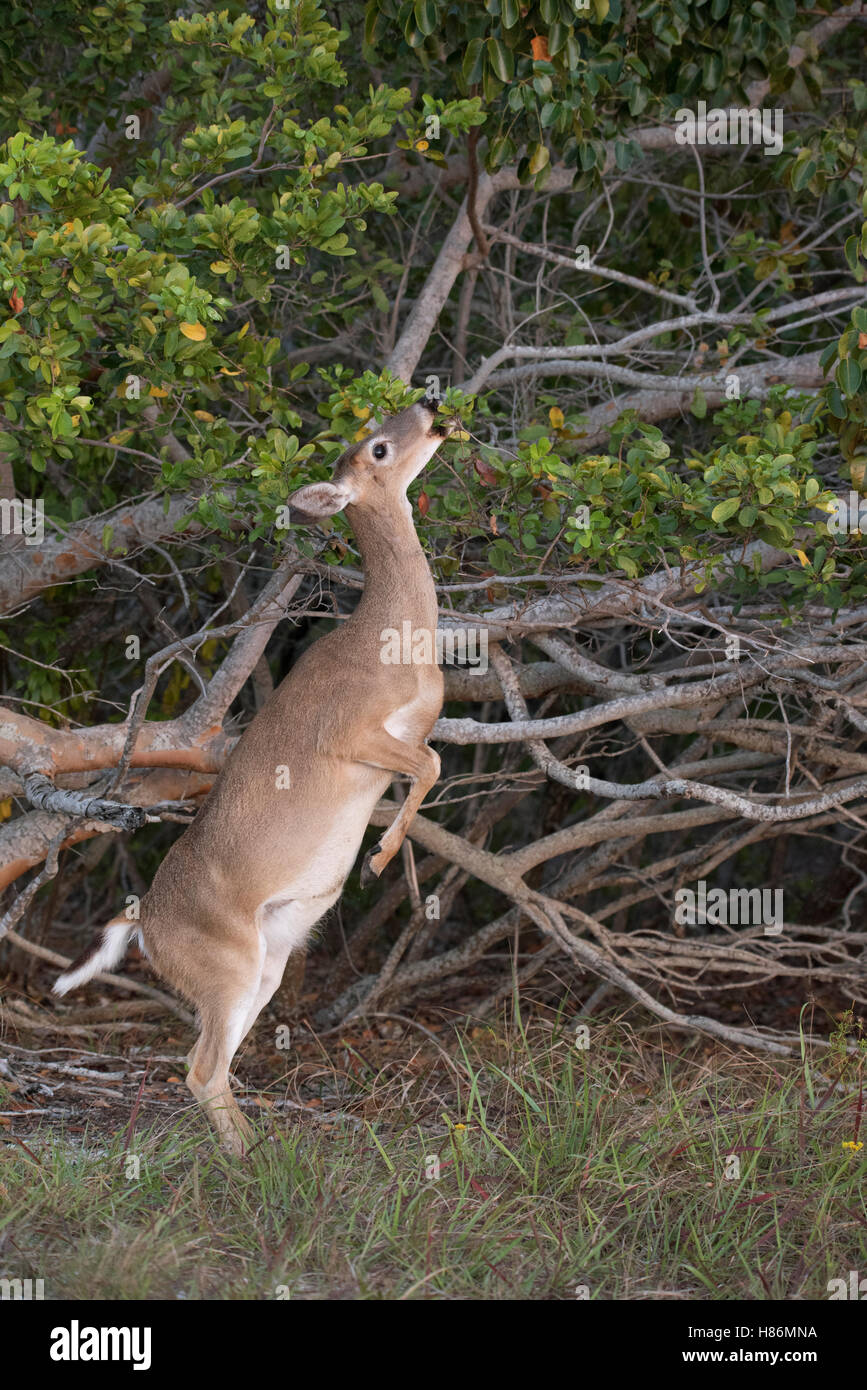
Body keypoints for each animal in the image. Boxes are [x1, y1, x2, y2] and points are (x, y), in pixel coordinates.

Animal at [54, 399, 452, 1154]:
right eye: (379, 449)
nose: (430, 406)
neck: (394, 641)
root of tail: (142, 922)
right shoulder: (349, 732)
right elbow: (434, 765)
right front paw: (378, 861)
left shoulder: (410, 733)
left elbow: (430, 767)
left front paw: (381, 858)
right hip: (228, 965)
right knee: (200, 1068)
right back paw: (247, 1159)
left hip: (263, 966)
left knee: (208, 1063)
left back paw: (258, 1149)